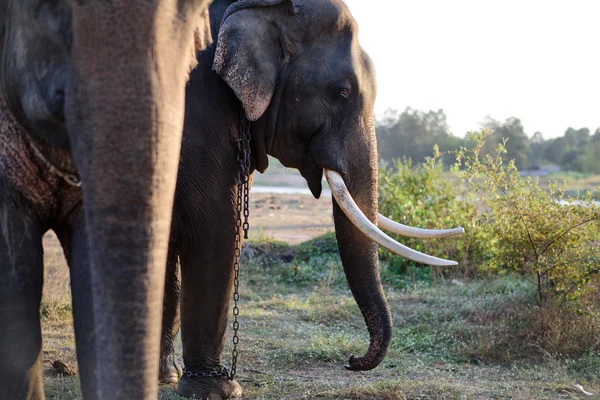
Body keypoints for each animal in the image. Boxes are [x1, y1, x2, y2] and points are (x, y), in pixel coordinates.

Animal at [157, 0, 462, 398]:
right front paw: (217, 392)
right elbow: (215, 227)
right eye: (342, 92)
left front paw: (167, 379)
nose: (350, 359)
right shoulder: (197, 108)